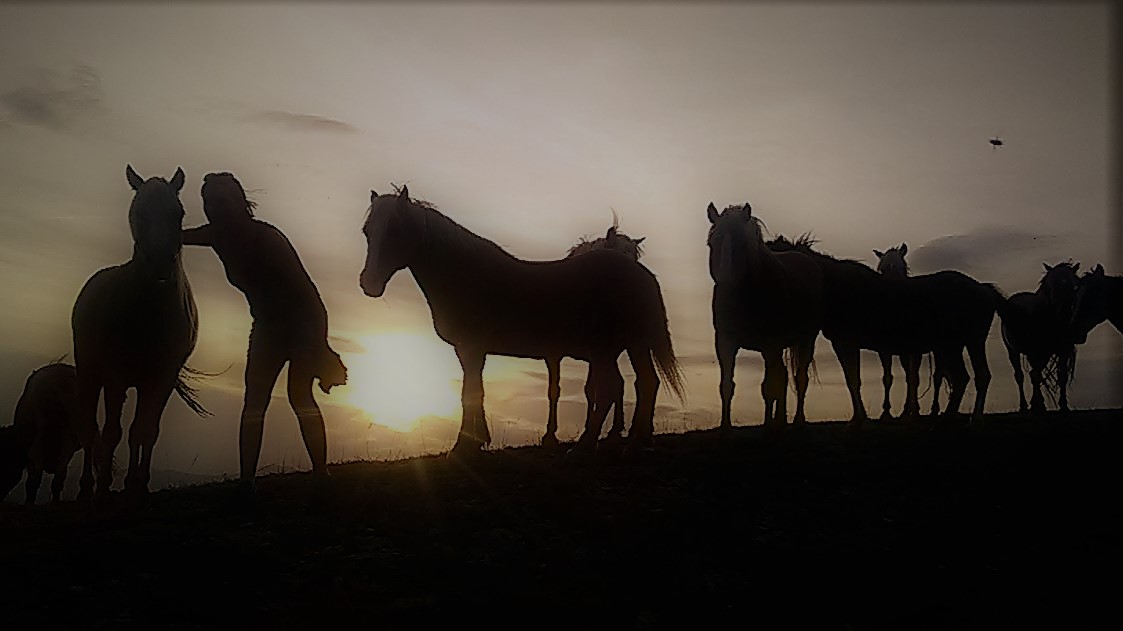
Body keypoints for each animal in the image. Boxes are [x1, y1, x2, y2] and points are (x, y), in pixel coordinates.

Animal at [70, 165, 205, 498]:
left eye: (178, 213)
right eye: (138, 212)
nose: (159, 263)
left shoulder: (161, 379)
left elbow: (145, 431)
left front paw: (137, 482)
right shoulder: (116, 376)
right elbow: (112, 431)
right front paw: (105, 484)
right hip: (90, 372)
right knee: (90, 429)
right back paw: (87, 486)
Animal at [539, 223, 646, 444]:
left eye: (635, 259)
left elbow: (594, 389)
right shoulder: (553, 354)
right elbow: (556, 390)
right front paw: (550, 434)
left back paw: (616, 428)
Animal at [705, 200, 822, 426]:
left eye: (742, 245)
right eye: (712, 244)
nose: (725, 288)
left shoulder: (770, 345)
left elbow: (769, 388)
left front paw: (768, 427)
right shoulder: (725, 342)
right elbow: (727, 386)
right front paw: (725, 427)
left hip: (806, 340)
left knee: (799, 378)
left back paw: (797, 421)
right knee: (783, 376)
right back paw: (780, 420)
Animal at [1001, 260, 1078, 413]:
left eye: (1073, 285)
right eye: (1052, 285)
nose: (1064, 311)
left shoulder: (1061, 351)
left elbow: (1061, 376)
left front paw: (1063, 404)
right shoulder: (1036, 352)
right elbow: (1035, 376)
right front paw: (1039, 404)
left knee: (1033, 374)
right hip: (1013, 351)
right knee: (1020, 376)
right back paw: (1024, 405)